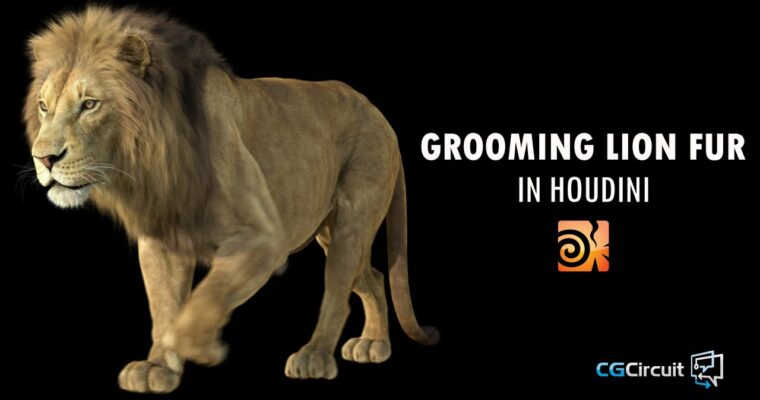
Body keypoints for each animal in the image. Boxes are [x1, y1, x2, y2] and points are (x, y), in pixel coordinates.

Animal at [24, 6, 437, 393]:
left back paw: (315, 355)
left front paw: (201, 346)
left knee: (338, 289)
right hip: (329, 233)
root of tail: (377, 112)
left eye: (90, 104)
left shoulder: (263, 238)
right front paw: (158, 367)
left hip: (354, 217)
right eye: (44, 106)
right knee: (373, 277)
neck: (153, 166)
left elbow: (206, 296)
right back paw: (373, 343)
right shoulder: (161, 241)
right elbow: (165, 305)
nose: (43, 158)